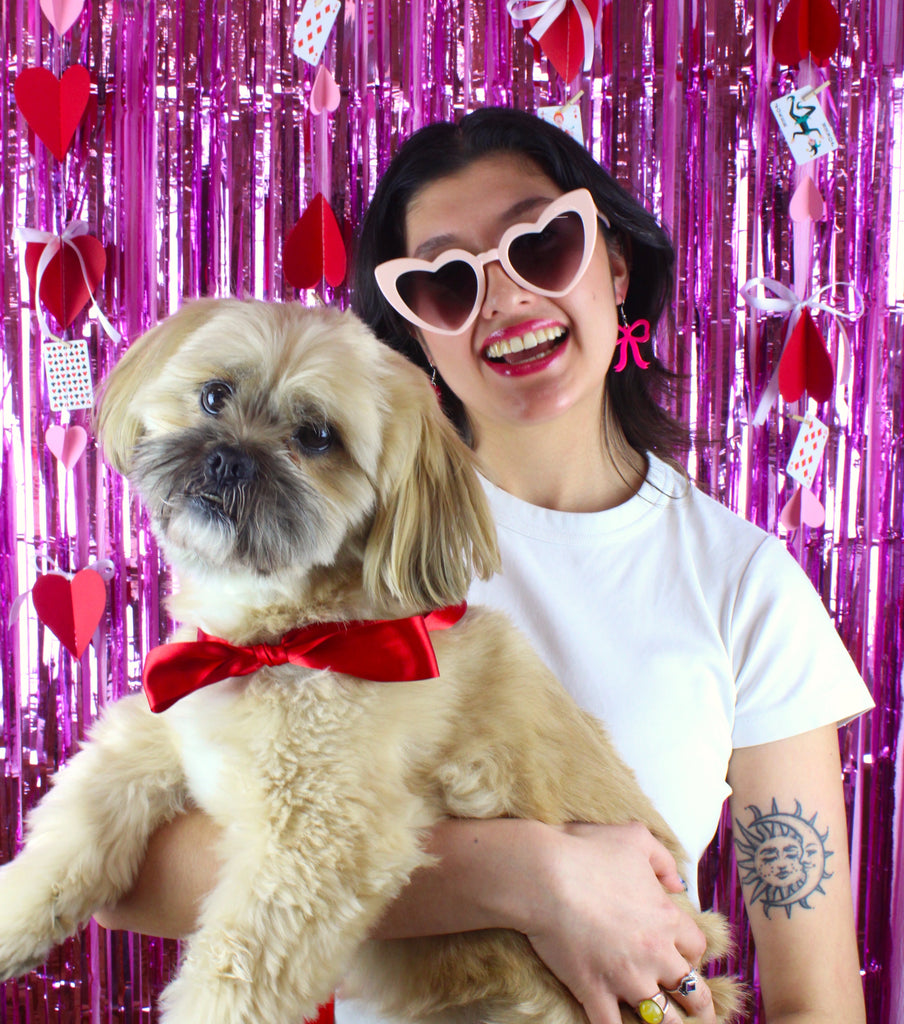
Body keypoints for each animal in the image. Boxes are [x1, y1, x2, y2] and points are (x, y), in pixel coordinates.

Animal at [0, 299, 741, 1019]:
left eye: (316, 437)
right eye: (214, 395)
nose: (229, 459)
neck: (282, 641)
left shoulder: (315, 846)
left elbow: (230, 980)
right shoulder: (167, 725)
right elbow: (78, 815)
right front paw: (16, 918)